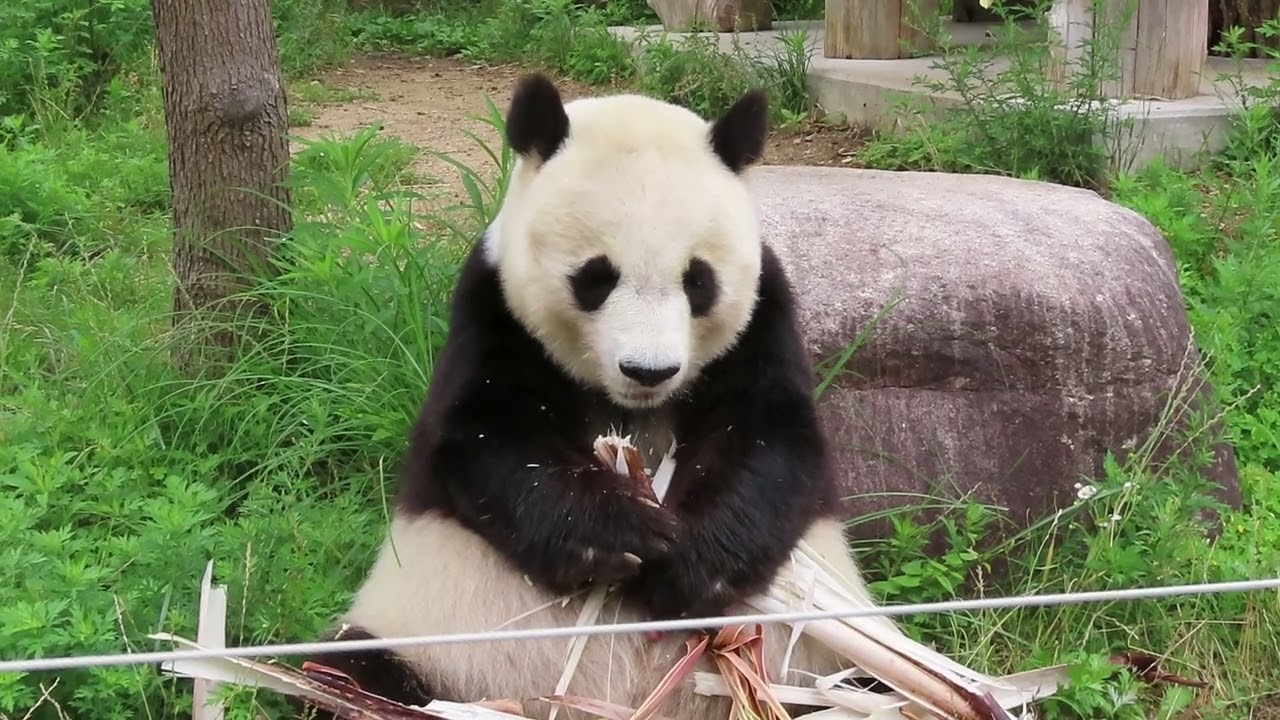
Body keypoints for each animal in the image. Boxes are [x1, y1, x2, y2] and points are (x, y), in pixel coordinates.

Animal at [298, 73, 877, 720]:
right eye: (595, 278)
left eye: (698, 281)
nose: (649, 371)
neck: (631, 407)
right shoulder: (493, 310)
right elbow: (488, 437)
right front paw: (622, 536)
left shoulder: (763, 318)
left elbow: (772, 441)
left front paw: (687, 565)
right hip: (434, 641)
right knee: (345, 671)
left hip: (816, 666)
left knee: (868, 687)